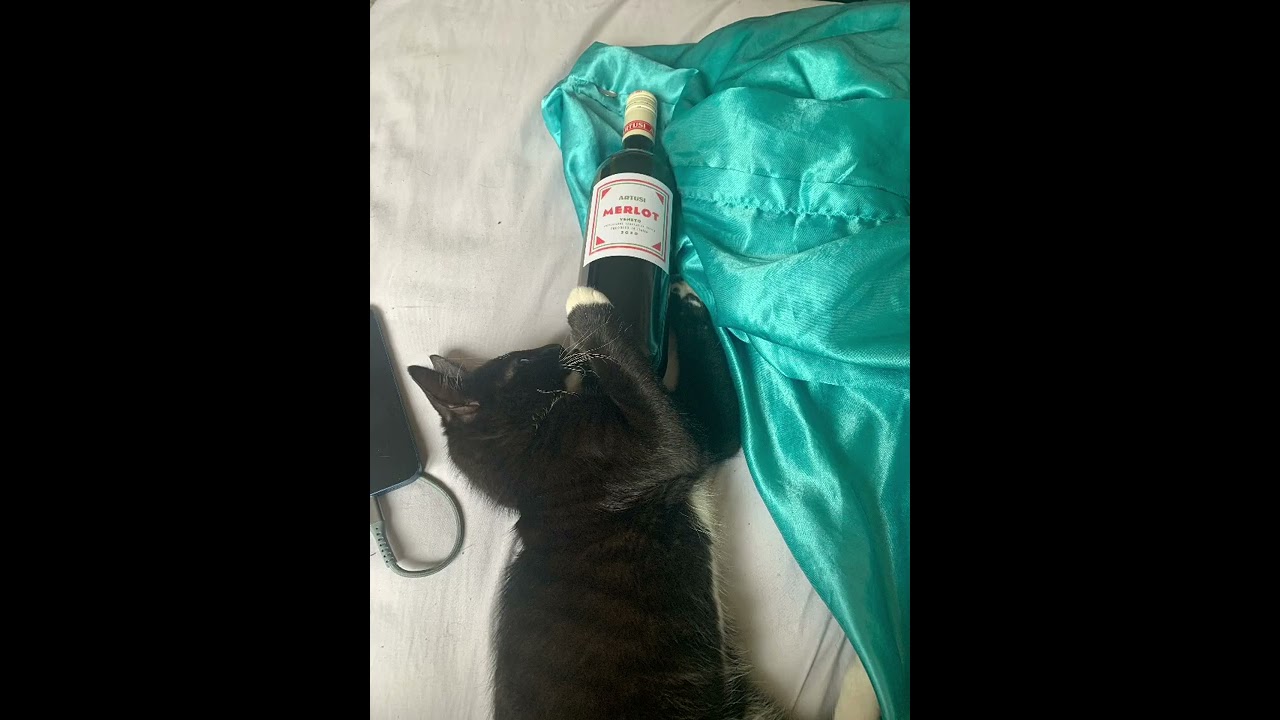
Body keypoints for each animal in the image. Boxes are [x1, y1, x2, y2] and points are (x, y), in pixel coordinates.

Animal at [408, 282, 784, 720]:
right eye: (521, 362)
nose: (554, 346)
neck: (527, 463)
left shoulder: (704, 432)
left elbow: (716, 421)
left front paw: (683, 297)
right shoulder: (658, 450)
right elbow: (669, 428)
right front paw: (584, 303)